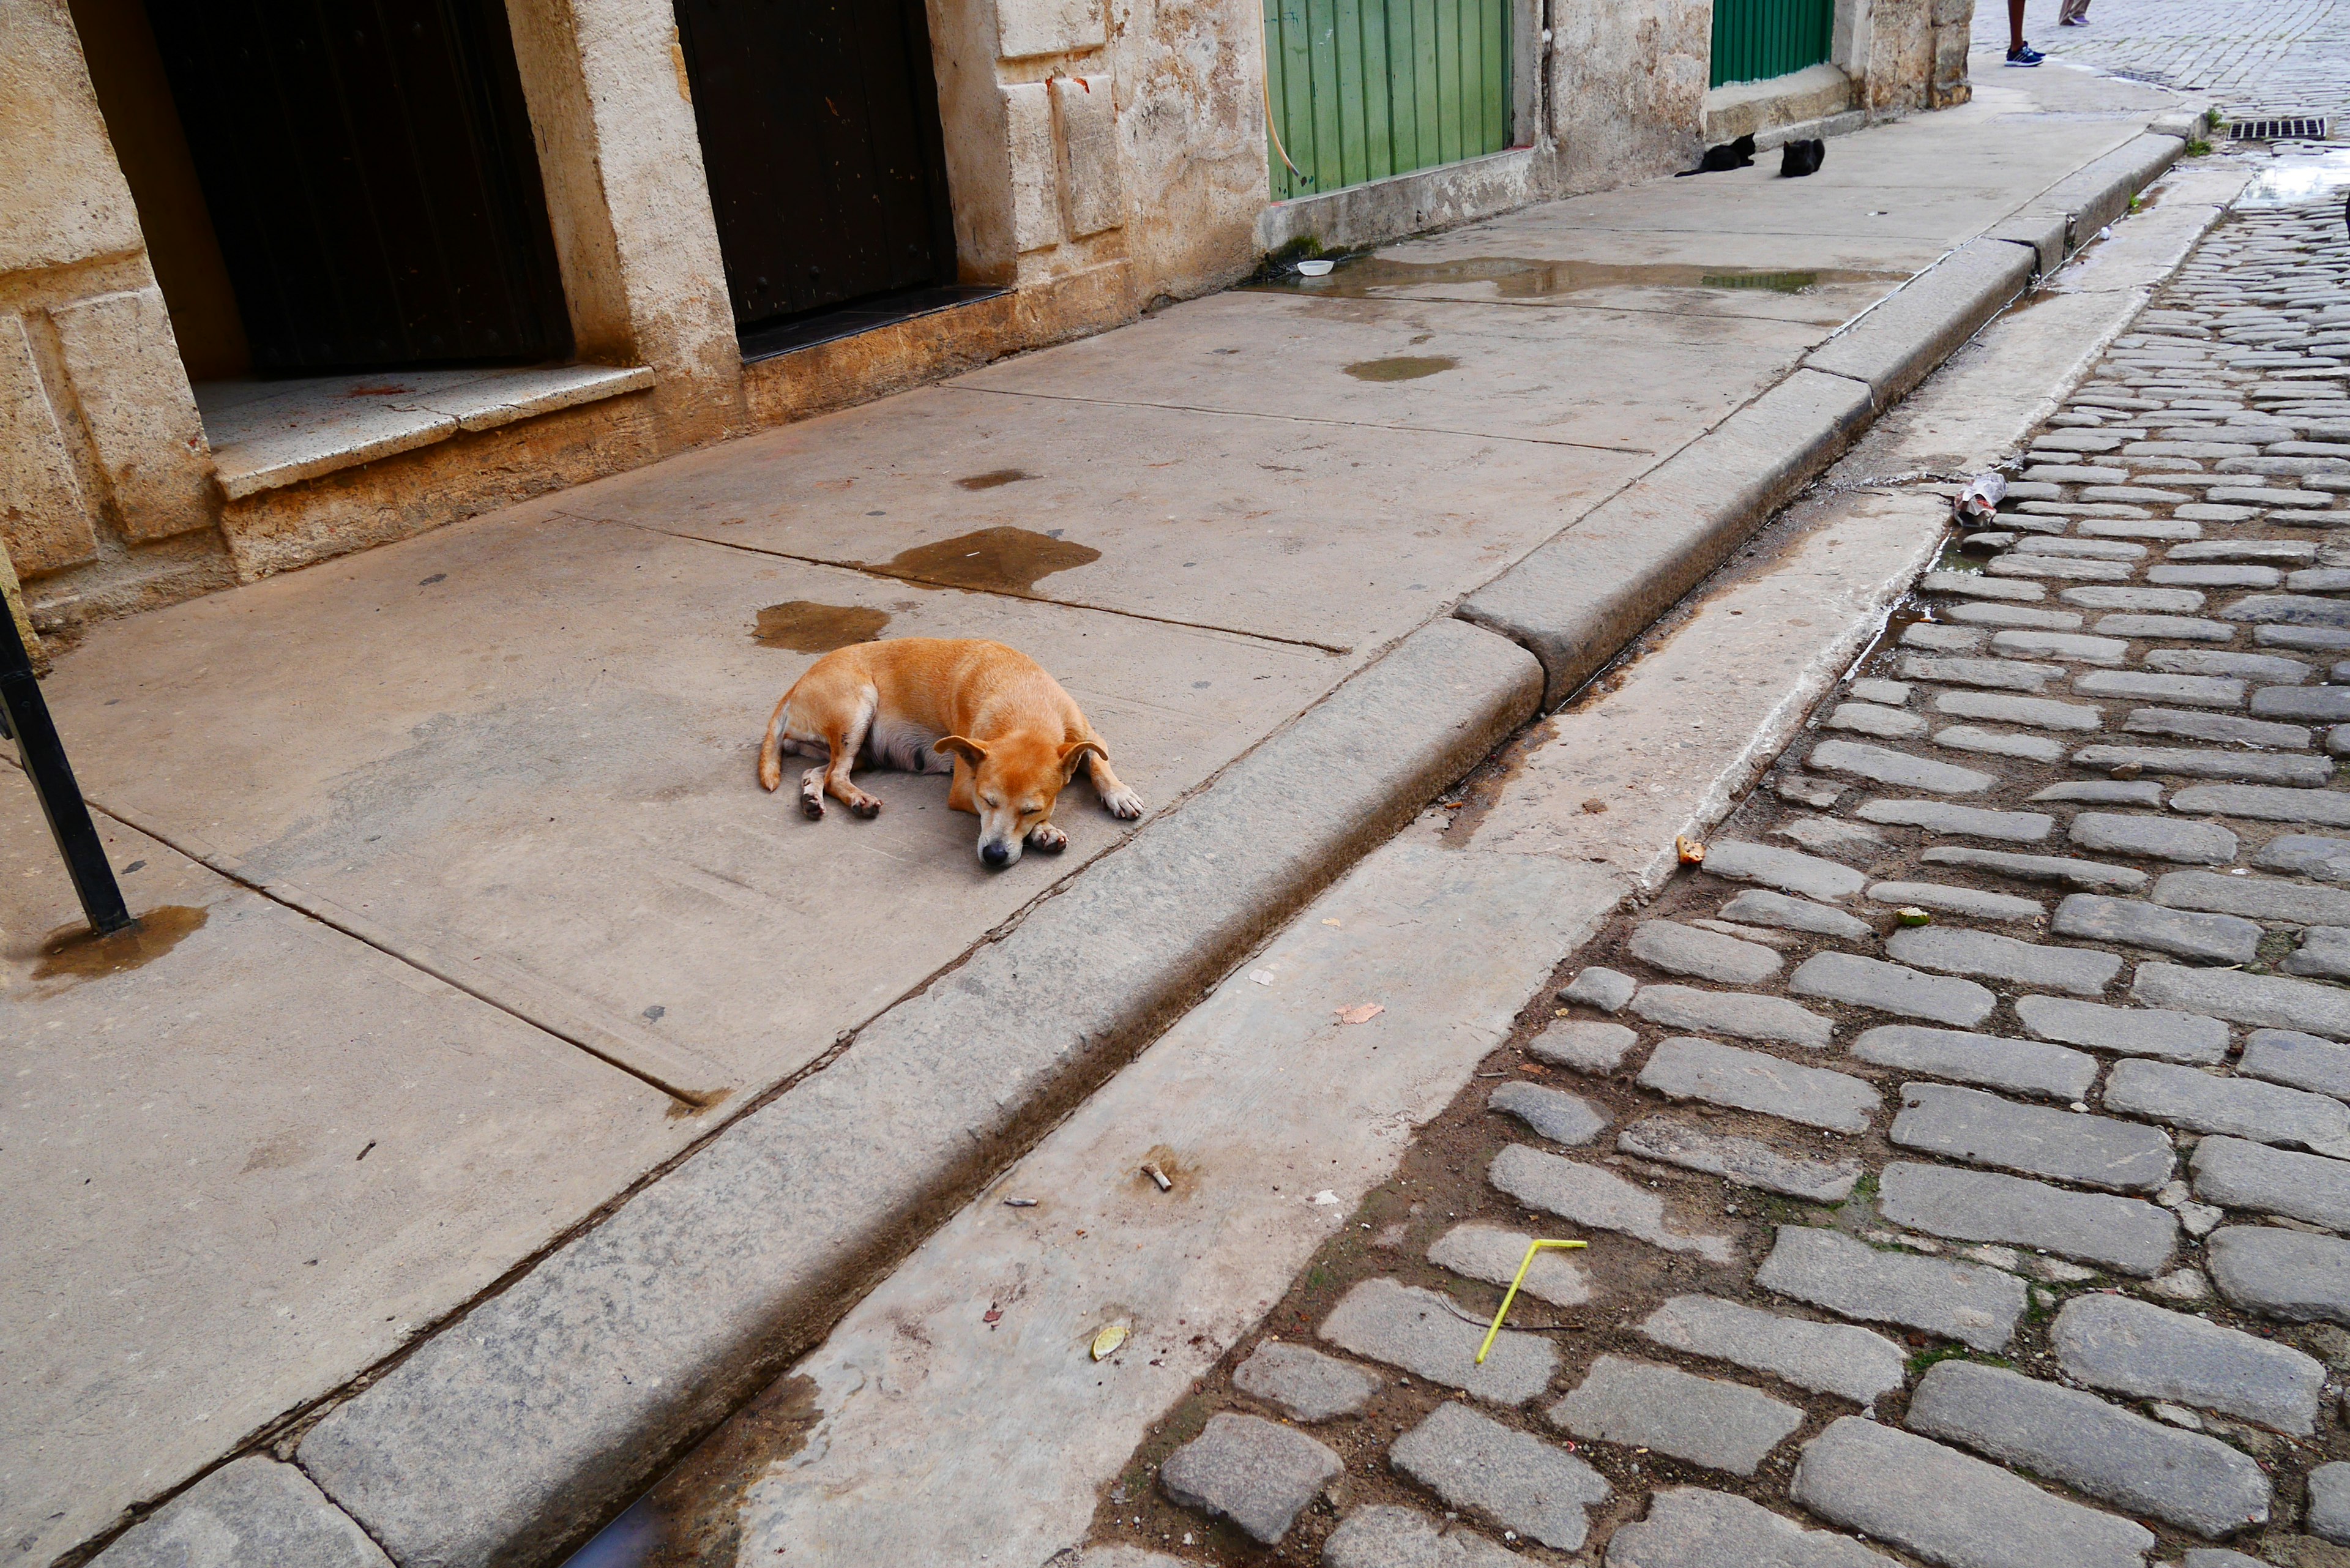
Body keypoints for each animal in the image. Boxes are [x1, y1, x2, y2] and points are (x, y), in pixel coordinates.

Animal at [756, 635, 1142, 870]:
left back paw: (812, 798)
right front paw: (1043, 832)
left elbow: (1099, 763)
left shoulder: (1089, 737)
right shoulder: (963, 789)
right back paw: (858, 800)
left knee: (818, 772)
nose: (993, 855)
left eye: (1032, 809)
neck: (1024, 706)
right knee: (837, 774)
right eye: (987, 801)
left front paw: (1118, 793)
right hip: (857, 709)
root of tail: (797, 683)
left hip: (861, 749)